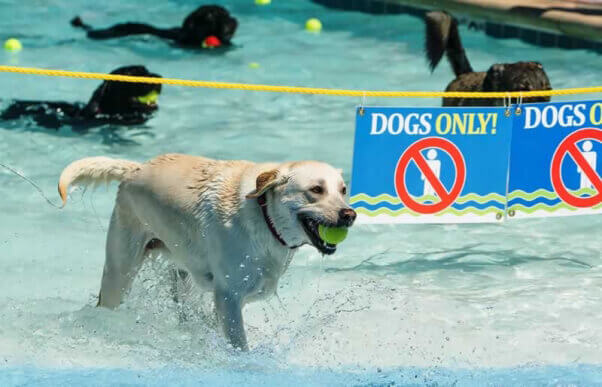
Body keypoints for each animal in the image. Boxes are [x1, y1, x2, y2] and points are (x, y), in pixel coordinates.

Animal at [56, 155, 354, 352]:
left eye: (343, 190)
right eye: (315, 190)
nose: (349, 214)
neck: (264, 215)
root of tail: (136, 169)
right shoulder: (228, 297)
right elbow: (238, 343)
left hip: (182, 275)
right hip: (120, 272)